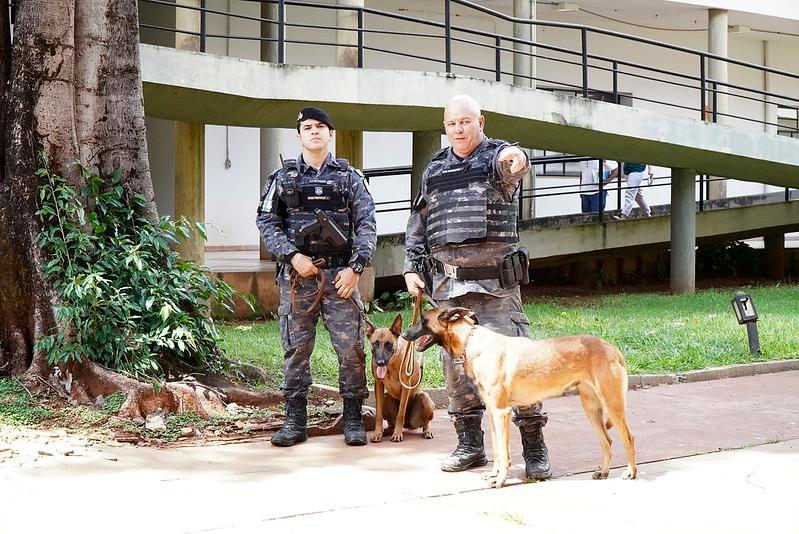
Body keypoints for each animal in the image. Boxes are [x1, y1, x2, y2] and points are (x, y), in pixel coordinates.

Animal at [366, 314, 434, 444]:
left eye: (389, 344)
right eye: (375, 344)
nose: (380, 363)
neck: (391, 365)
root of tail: (408, 425)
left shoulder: (405, 387)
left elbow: (400, 413)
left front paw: (397, 434)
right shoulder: (378, 385)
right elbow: (378, 415)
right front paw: (377, 433)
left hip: (425, 398)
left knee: (426, 422)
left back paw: (427, 431)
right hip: (385, 397)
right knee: (390, 423)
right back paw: (386, 431)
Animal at [406, 308, 636, 488]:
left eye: (423, 319)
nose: (405, 333)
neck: (472, 340)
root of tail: (612, 349)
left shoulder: (502, 413)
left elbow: (504, 452)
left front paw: (500, 480)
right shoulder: (492, 414)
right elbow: (497, 450)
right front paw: (493, 475)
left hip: (612, 404)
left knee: (628, 437)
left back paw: (631, 472)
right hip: (591, 408)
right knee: (607, 440)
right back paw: (604, 471)